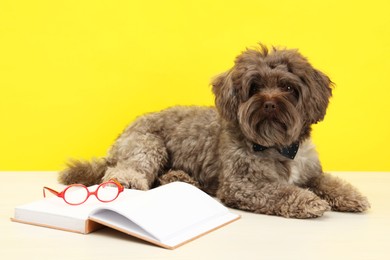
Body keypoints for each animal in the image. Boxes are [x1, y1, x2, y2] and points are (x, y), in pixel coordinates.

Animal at [59, 44, 370, 217]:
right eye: (254, 87)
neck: (277, 145)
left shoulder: (311, 173)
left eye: (288, 87)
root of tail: (121, 134)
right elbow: (280, 191)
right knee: (122, 171)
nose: (269, 103)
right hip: (148, 145)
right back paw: (132, 180)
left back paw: (179, 177)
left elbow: (330, 183)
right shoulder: (243, 184)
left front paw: (351, 196)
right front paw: (308, 201)